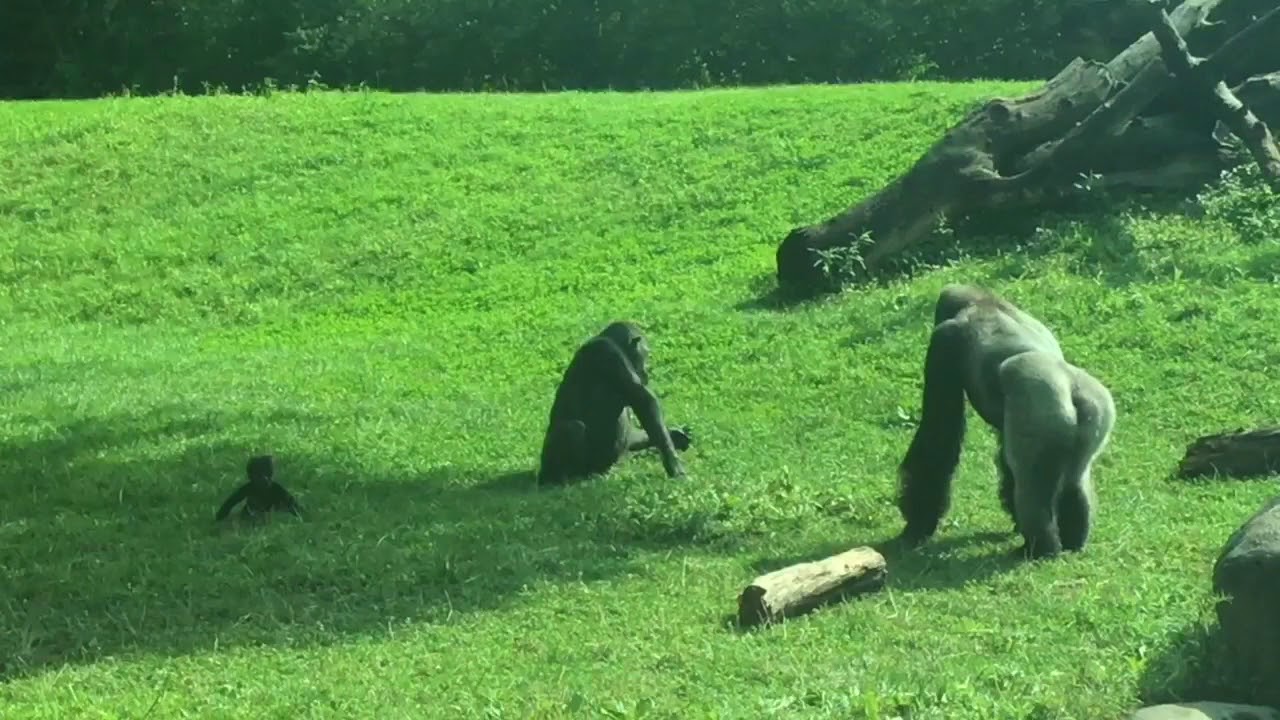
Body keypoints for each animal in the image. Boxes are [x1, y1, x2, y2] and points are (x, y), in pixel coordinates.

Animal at [537, 321, 692, 485]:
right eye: (645, 355)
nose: (646, 372)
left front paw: (676, 435)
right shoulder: (608, 353)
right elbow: (644, 400)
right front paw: (674, 465)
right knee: (572, 428)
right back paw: (563, 477)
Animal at [895, 283, 1116, 560]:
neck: (982, 302)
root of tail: (1071, 390)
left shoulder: (945, 341)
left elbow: (938, 437)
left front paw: (916, 526)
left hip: (1044, 414)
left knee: (1033, 487)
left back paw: (1040, 548)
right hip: (1096, 412)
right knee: (1075, 477)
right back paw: (1073, 540)